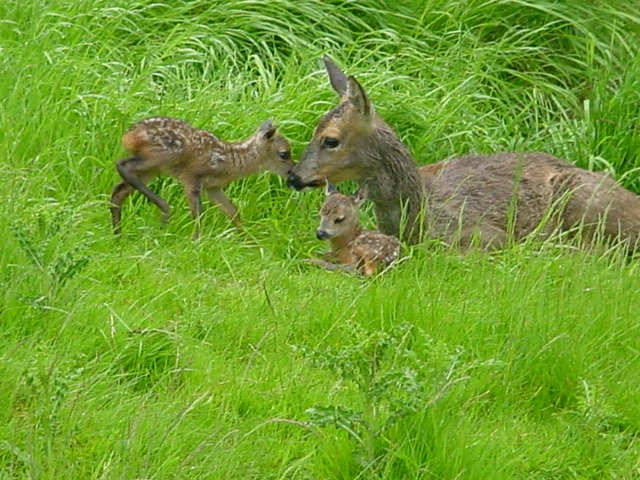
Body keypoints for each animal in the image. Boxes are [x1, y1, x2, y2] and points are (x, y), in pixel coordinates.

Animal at [110, 117, 293, 238]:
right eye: (284, 154)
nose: (292, 172)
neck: (230, 161)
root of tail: (129, 135)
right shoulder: (192, 176)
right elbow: (199, 212)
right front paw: (196, 242)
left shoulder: (212, 187)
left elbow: (233, 211)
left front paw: (248, 241)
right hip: (165, 154)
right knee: (122, 165)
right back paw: (164, 210)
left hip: (154, 168)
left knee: (119, 189)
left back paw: (118, 235)